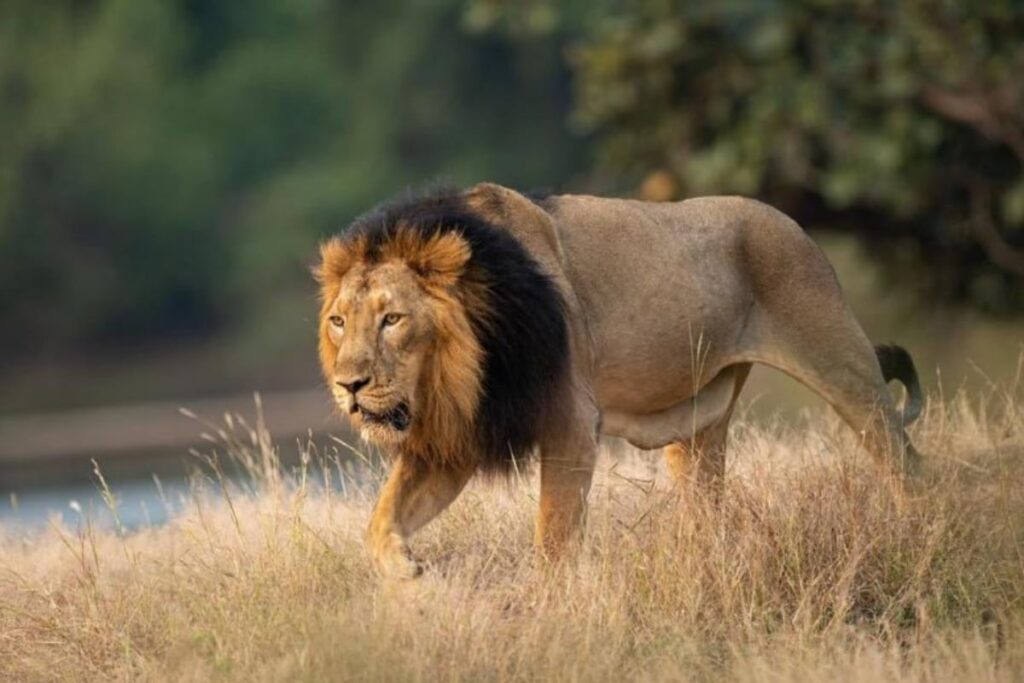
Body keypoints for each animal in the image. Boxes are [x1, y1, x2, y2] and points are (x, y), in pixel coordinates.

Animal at [314, 183, 923, 578]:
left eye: (393, 319)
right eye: (339, 321)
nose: (349, 385)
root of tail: (790, 222)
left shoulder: (570, 425)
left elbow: (553, 538)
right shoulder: (455, 442)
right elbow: (380, 522)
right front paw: (407, 577)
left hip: (842, 364)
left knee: (906, 462)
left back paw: (918, 534)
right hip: (699, 427)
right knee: (708, 509)